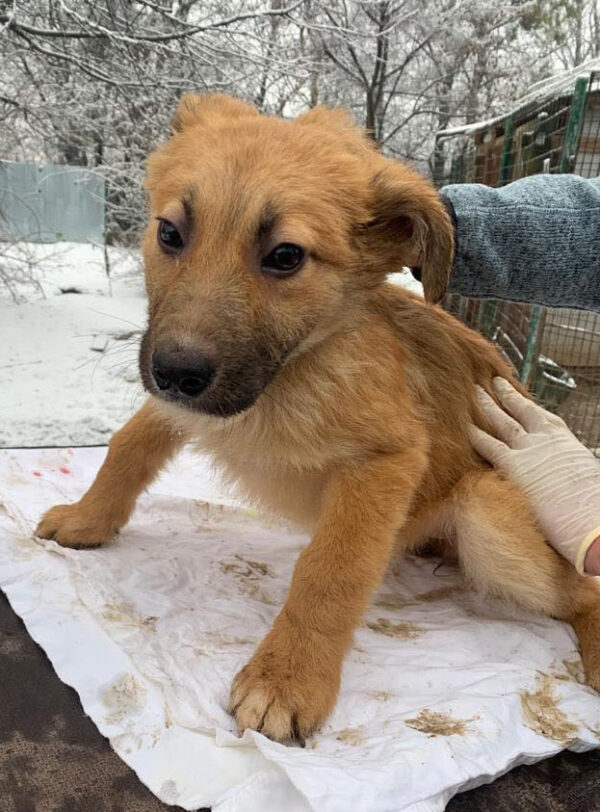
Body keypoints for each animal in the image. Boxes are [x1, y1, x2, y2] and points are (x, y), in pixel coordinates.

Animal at [36, 93, 600, 744]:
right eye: (170, 233)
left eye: (285, 256)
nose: (176, 371)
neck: (293, 369)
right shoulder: (186, 407)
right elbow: (127, 446)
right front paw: (87, 519)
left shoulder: (384, 462)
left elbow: (330, 569)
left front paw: (286, 680)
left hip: (489, 513)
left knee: (583, 590)